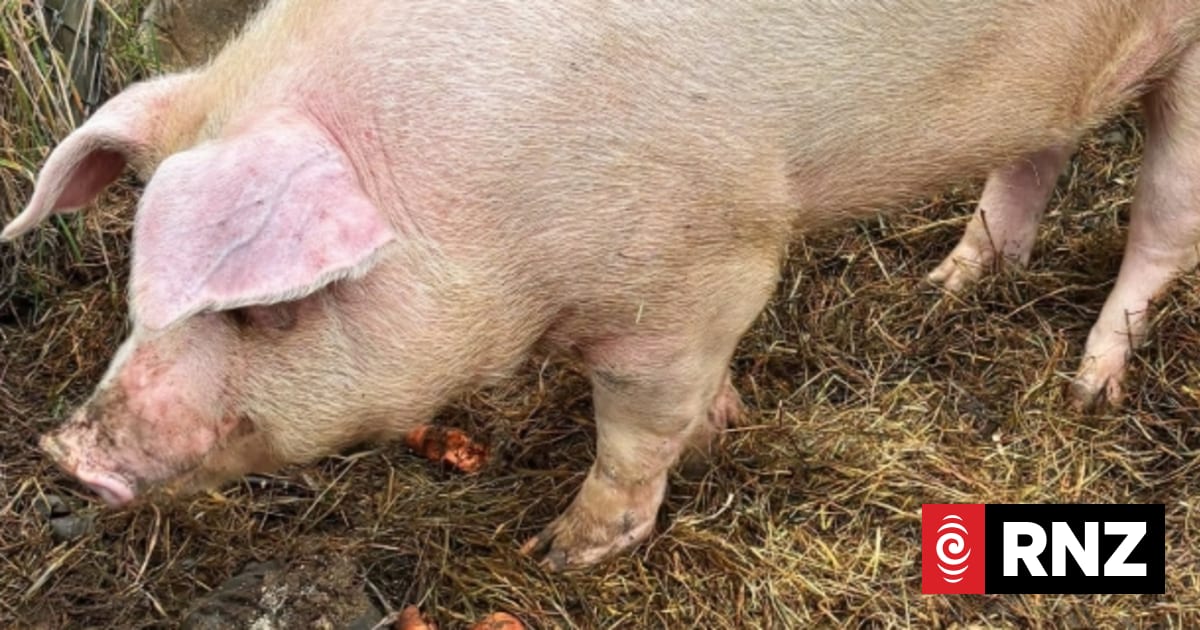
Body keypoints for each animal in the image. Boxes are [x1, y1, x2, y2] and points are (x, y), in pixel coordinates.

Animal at [5, 0, 1200, 570]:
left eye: (266, 306)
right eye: (139, 289)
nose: (69, 452)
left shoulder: (704, 265)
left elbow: (637, 428)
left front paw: (563, 553)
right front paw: (726, 426)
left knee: (1161, 226)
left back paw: (1090, 388)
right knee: (1038, 151)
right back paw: (944, 288)